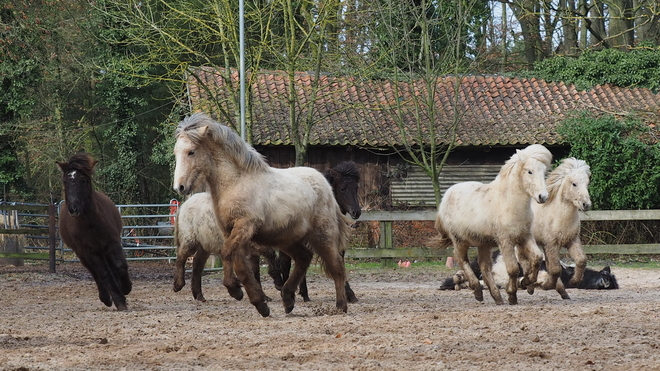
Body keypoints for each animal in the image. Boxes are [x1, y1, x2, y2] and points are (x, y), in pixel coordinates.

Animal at [57, 153, 133, 310]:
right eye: (65, 181)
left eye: (83, 180)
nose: (73, 208)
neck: (90, 223)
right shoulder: (89, 251)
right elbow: (103, 274)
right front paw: (119, 300)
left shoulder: (112, 243)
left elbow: (119, 265)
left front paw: (125, 288)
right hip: (83, 254)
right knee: (95, 272)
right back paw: (106, 298)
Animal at [434, 145, 552, 306]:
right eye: (529, 171)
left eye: (543, 171)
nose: (543, 197)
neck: (509, 203)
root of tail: (446, 197)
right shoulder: (505, 241)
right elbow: (513, 269)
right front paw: (512, 295)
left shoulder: (524, 236)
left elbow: (537, 258)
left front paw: (527, 284)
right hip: (460, 241)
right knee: (462, 260)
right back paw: (478, 291)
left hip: (483, 243)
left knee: (484, 267)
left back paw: (497, 297)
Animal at [528, 157, 592, 300]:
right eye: (574, 184)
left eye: (587, 183)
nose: (586, 204)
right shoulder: (551, 244)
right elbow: (556, 269)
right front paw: (547, 285)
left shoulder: (572, 241)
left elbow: (581, 260)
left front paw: (573, 282)